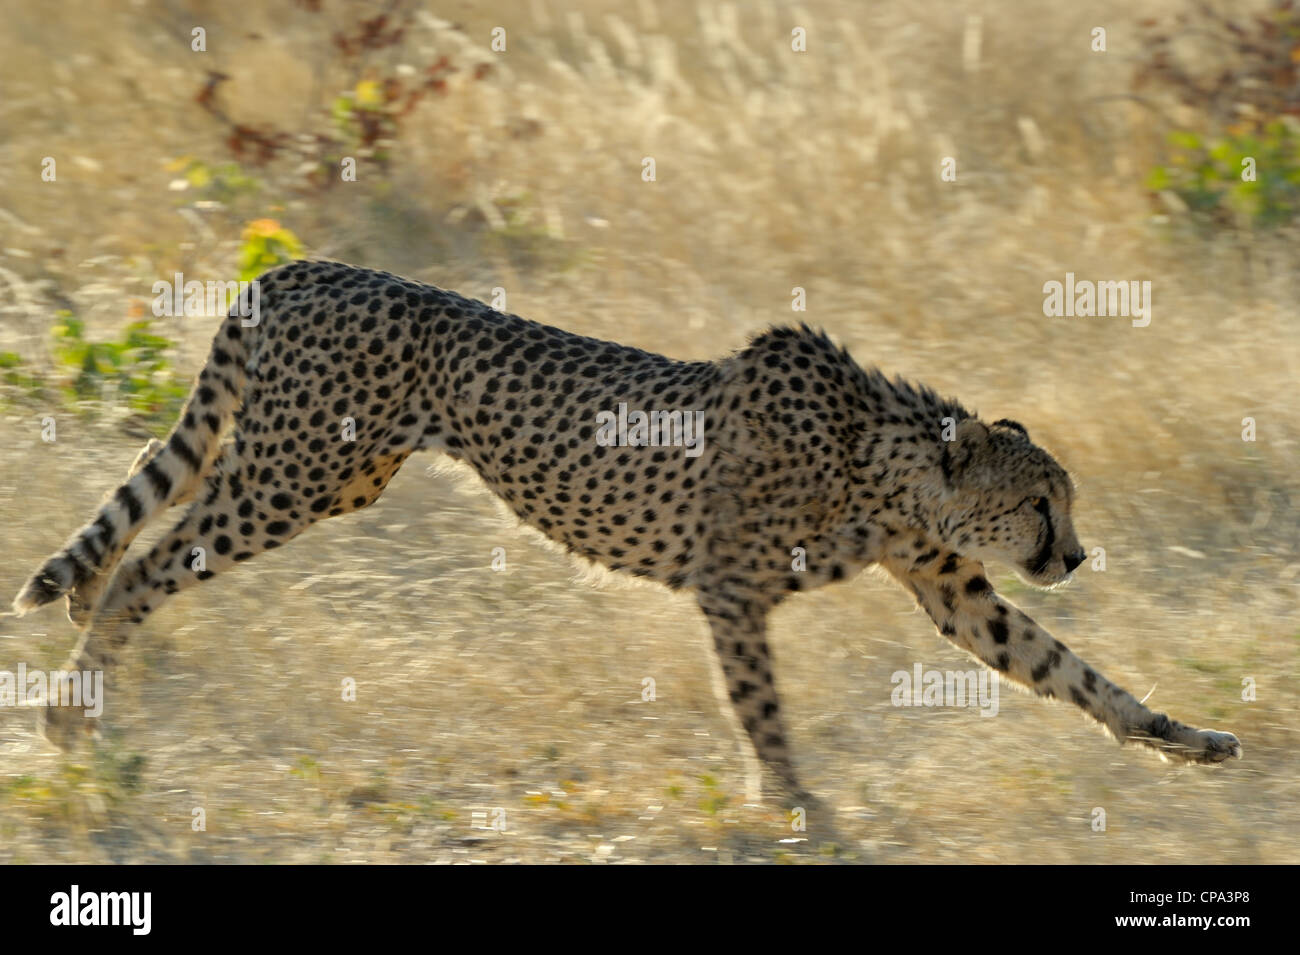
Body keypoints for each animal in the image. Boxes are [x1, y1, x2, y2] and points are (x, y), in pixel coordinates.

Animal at [15, 259, 1242, 800]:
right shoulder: (732, 589)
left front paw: (1181, 738)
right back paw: (74, 714)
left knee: (151, 521)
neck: (882, 456)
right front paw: (796, 807)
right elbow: (760, 710)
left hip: (315, 468)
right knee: (153, 561)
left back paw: (81, 633)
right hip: (297, 473)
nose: (1073, 553)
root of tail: (303, 262)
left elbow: (1066, 669)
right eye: (1041, 502)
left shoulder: (953, 589)